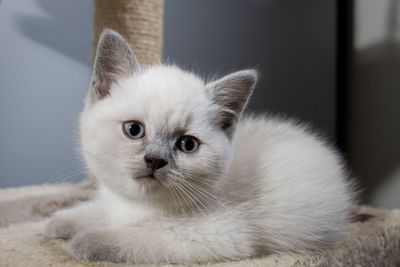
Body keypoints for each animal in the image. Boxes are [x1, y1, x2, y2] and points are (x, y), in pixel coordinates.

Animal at [43, 30, 354, 264]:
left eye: (187, 144)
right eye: (134, 130)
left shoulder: (214, 234)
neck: (139, 206)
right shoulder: (115, 201)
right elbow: (98, 210)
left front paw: (85, 241)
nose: (155, 160)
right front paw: (57, 224)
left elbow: (136, 237)